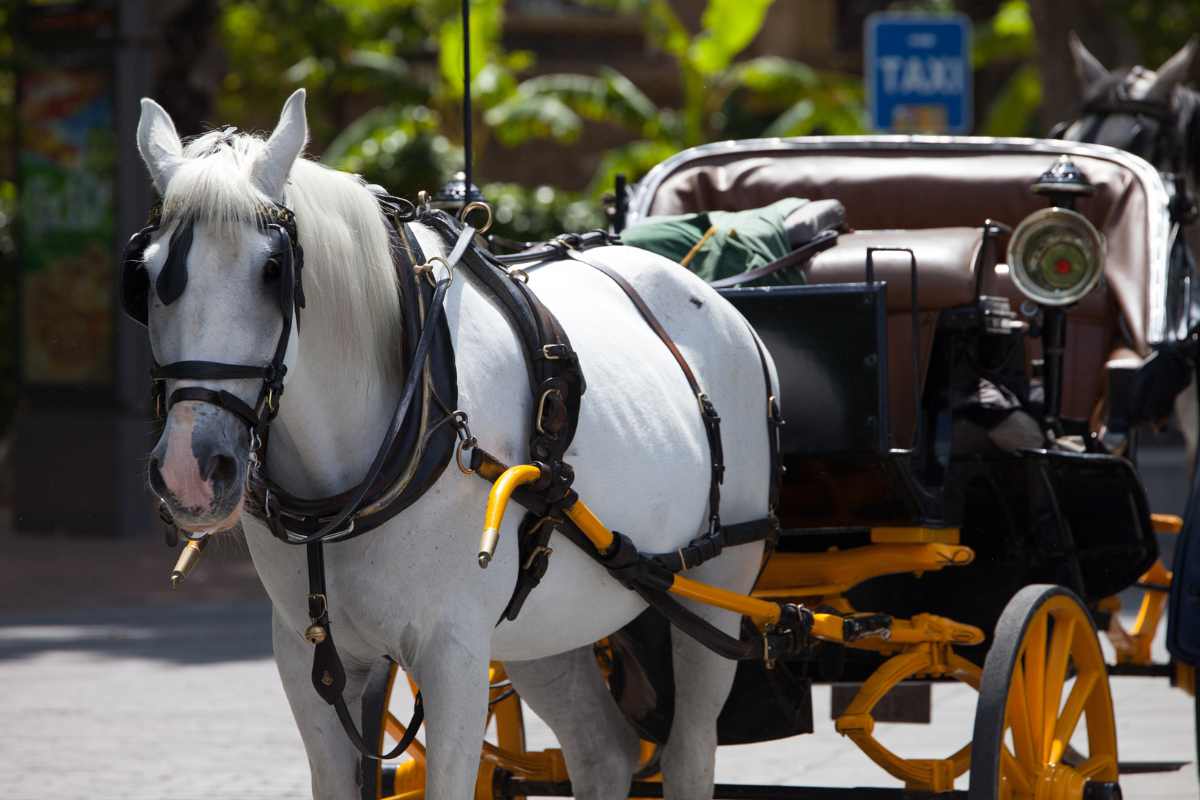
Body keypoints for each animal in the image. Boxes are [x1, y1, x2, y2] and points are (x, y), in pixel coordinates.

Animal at [136, 89, 777, 800]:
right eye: (148, 276)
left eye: (273, 269)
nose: (191, 471)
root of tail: (719, 304)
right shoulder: (308, 656)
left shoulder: (455, 654)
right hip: (548, 622)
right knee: (602, 751)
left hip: (717, 586)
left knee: (690, 751)